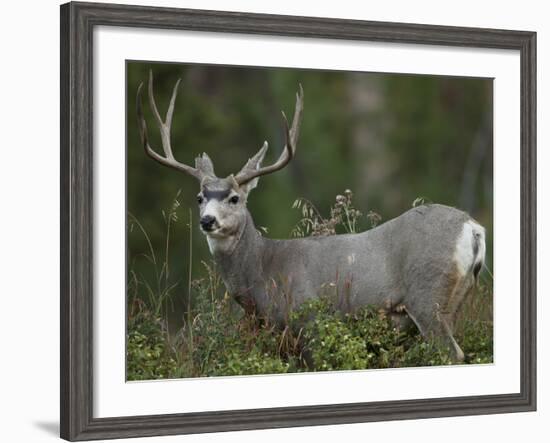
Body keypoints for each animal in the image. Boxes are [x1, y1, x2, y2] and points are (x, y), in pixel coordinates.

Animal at [137, 71, 488, 364]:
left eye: (234, 198)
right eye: (200, 198)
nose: (207, 221)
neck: (263, 270)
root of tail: (473, 228)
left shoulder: (310, 320)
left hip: (427, 296)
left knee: (453, 354)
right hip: (456, 298)